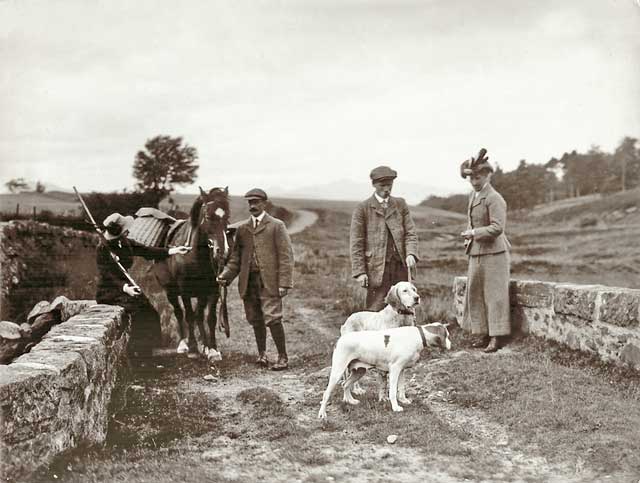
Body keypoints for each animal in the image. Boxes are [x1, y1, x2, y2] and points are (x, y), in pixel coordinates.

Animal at [154, 187, 231, 362]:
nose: (222, 252)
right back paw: (184, 344)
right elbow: (189, 315)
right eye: (208, 216)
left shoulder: (213, 290)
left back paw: (205, 345)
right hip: (171, 291)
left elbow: (209, 318)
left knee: (199, 315)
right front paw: (194, 348)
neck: (196, 256)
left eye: (227, 217)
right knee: (179, 313)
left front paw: (212, 349)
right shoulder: (185, 290)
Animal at [318, 324, 450, 422]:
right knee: (326, 394)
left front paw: (404, 400)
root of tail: (340, 339)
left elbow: (401, 389)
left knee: (345, 384)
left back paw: (350, 401)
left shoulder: (402, 370)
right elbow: (392, 392)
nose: (451, 343)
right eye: (447, 335)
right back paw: (322, 414)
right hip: (338, 371)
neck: (418, 336)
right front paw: (395, 407)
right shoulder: (395, 369)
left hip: (359, 371)